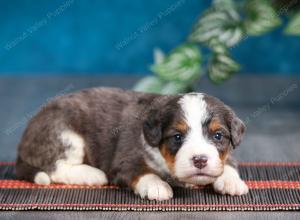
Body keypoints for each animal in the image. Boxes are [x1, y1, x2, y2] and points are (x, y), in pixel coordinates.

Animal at [17, 87, 250, 200]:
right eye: (177, 137)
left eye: (218, 136)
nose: (200, 160)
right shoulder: (124, 162)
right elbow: (142, 171)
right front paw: (157, 186)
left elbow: (229, 163)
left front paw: (231, 182)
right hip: (65, 135)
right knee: (55, 167)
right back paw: (93, 174)